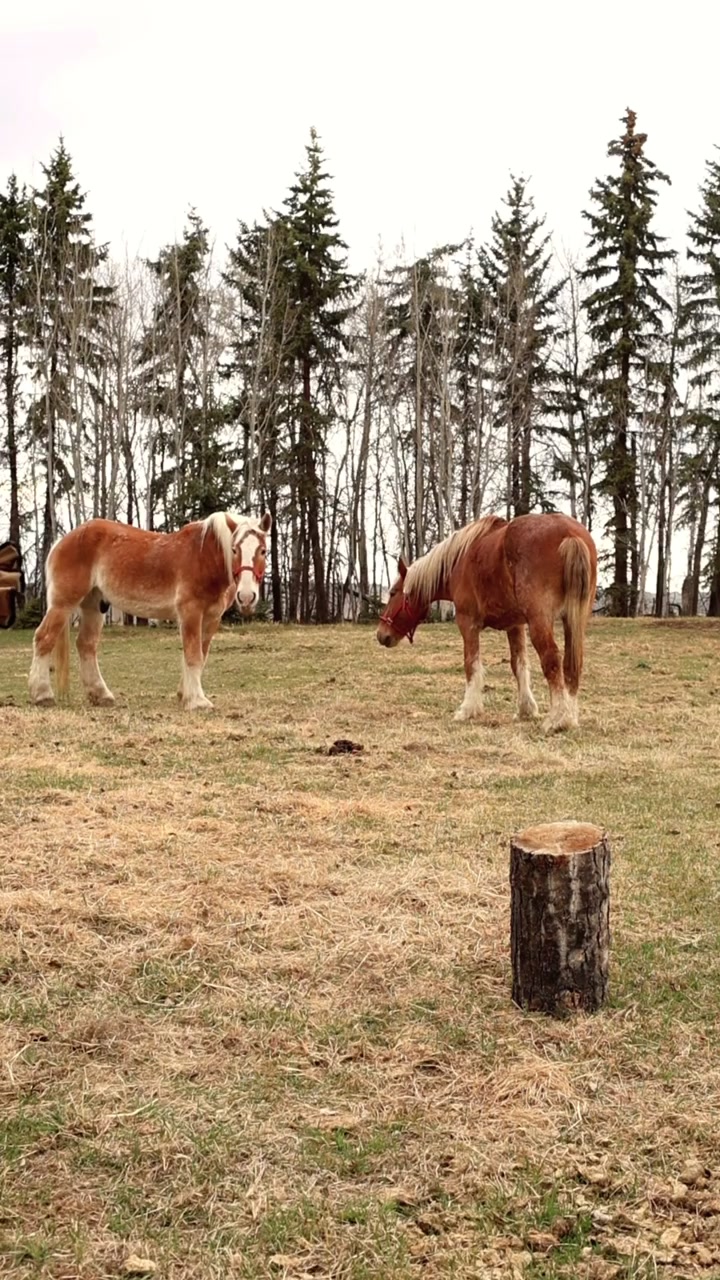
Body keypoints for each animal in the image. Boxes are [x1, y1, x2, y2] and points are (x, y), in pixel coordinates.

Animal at [28, 511, 271, 711]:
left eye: (263, 550)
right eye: (234, 550)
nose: (247, 596)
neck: (205, 556)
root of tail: (62, 541)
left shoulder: (211, 619)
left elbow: (200, 656)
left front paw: (184, 695)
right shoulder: (190, 612)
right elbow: (193, 655)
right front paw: (197, 701)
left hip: (93, 606)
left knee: (86, 645)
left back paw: (101, 695)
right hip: (63, 603)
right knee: (44, 638)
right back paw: (42, 695)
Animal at [376, 512, 597, 734]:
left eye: (393, 593)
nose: (381, 634)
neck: (459, 561)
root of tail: (569, 534)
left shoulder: (467, 624)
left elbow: (471, 664)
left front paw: (467, 710)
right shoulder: (515, 625)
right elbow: (519, 664)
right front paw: (525, 709)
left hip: (540, 622)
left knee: (551, 660)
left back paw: (557, 719)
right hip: (574, 620)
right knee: (572, 664)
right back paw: (570, 717)